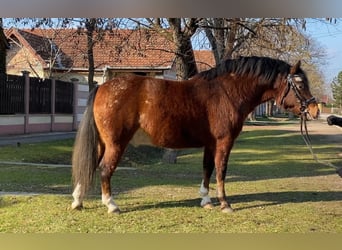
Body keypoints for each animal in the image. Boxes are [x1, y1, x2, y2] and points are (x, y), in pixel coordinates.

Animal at [71, 56, 320, 213]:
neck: (226, 92)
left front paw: (206, 200)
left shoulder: (210, 144)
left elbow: (207, 169)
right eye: (299, 84)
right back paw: (111, 205)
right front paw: (225, 204)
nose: (315, 110)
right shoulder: (224, 142)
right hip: (116, 143)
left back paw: (78, 201)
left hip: (102, 143)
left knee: (90, 165)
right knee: (105, 169)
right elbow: (221, 171)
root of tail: (102, 87)